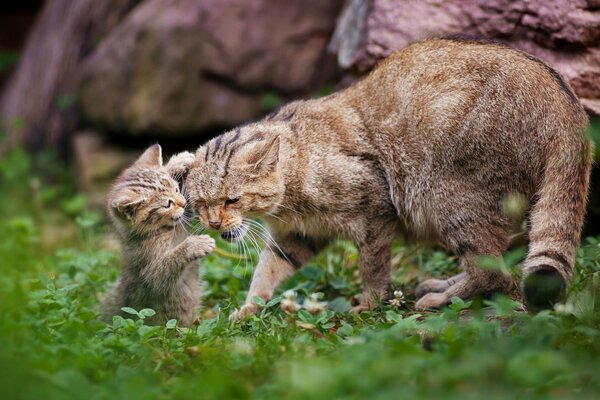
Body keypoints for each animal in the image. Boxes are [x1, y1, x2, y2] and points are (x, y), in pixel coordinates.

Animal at [101, 145, 216, 326]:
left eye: (176, 189)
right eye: (168, 204)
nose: (183, 202)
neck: (162, 230)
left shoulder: (184, 217)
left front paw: (177, 162)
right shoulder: (150, 272)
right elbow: (166, 267)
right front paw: (196, 245)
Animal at [185, 38, 592, 318]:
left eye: (232, 199)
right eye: (201, 204)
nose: (214, 223)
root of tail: (569, 108)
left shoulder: (375, 212)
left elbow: (374, 268)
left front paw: (368, 304)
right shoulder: (297, 237)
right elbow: (267, 272)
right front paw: (248, 310)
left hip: (449, 198)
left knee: (493, 273)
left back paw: (439, 297)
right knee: (498, 262)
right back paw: (443, 284)